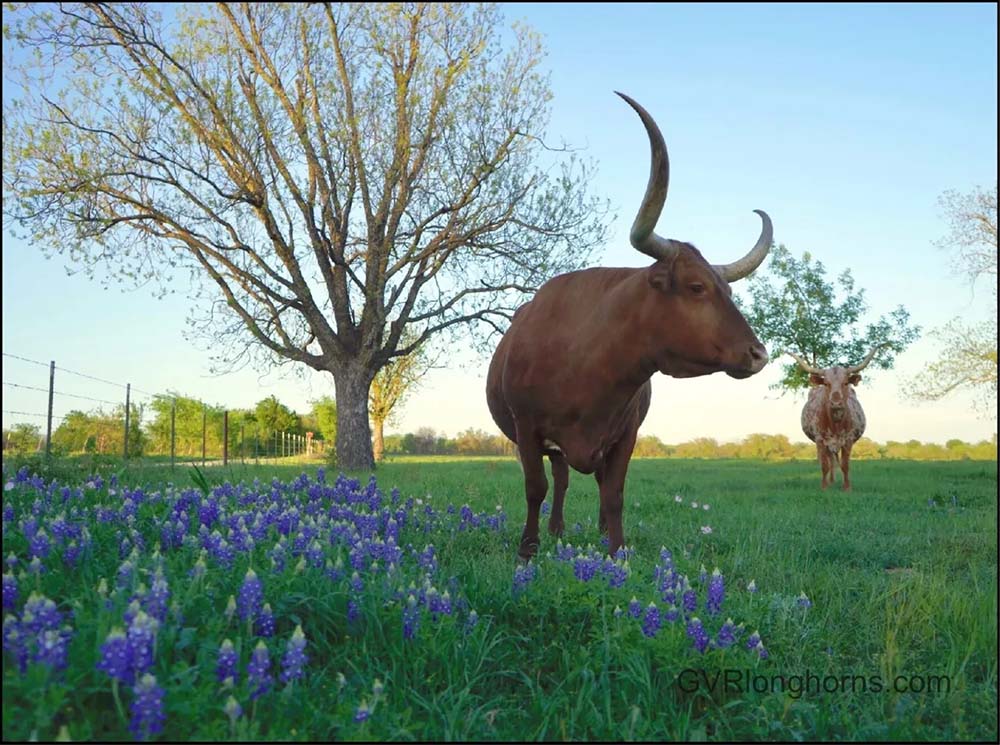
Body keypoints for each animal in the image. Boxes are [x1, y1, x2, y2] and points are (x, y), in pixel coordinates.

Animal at [484, 93, 772, 560]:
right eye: (696, 287)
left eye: (728, 290)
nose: (758, 354)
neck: (585, 364)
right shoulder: (526, 428)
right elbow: (535, 487)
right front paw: (527, 549)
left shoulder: (624, 435)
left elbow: (614, 493)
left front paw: (616, 551)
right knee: (559, 479)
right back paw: (555, 530)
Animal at [792, 348, 880, 492]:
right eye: (826, 383)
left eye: (845, 383)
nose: (836, 403)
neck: (836, 422)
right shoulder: (820, 440)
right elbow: (824, 465)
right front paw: (824, 487)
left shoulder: (848, 440)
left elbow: (845, 465)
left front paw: (847, 487)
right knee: (831, 461)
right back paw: (830, 481)